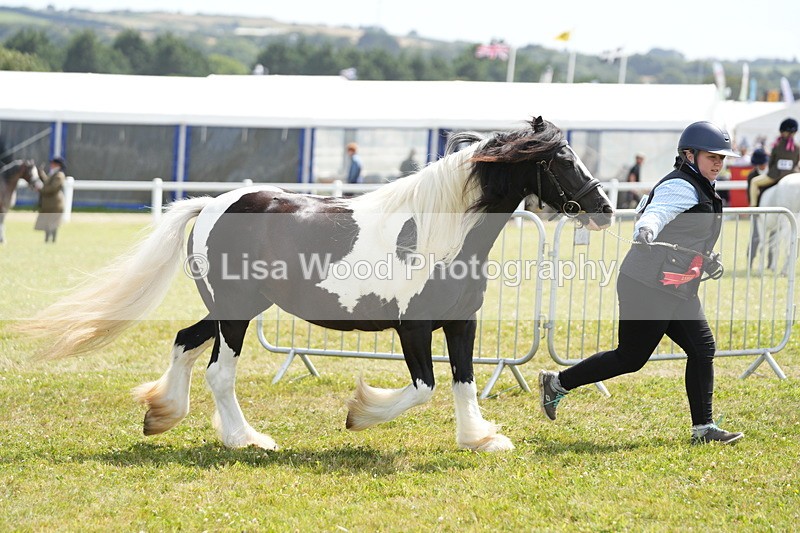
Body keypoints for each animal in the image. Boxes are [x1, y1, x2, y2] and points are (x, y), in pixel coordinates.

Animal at [20, 117, 614, 452]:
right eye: (562, 160)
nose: (606, 208)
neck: (439, 231)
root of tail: (211, 204)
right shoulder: (413, 327)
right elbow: (423, 387)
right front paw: (360, 414)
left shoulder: (460, 323)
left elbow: (464, 383)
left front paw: (482, 439)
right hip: (236, 313)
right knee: (219, 372)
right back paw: (248, 440)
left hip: (230, 309)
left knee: (185, 342)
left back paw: (163, 414)